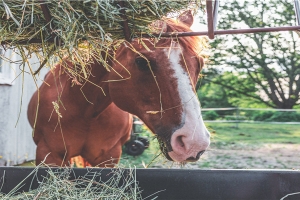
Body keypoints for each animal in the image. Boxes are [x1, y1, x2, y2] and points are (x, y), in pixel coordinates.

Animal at [28, 11, 211, 167]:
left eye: (200, 64)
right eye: (142, 61)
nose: (193, 142)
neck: (85, 112)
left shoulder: (109, 157)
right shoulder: (49, 155)